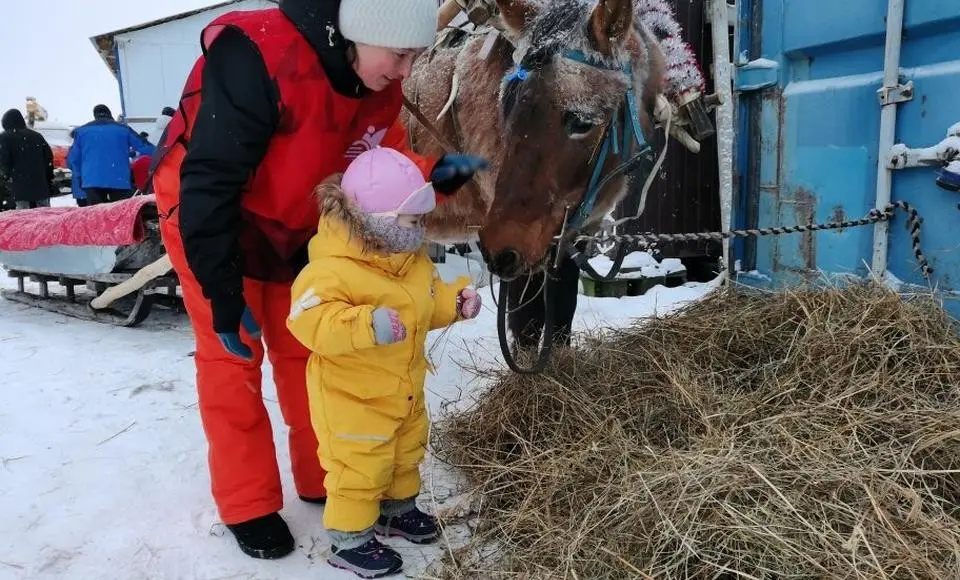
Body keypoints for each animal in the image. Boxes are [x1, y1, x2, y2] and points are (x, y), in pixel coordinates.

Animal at [402, 0, 688, 364]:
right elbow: (526, 323)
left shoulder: (570, 233)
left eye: (581, 122)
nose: (498, 247)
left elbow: (562, 308)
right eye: (507, 105)